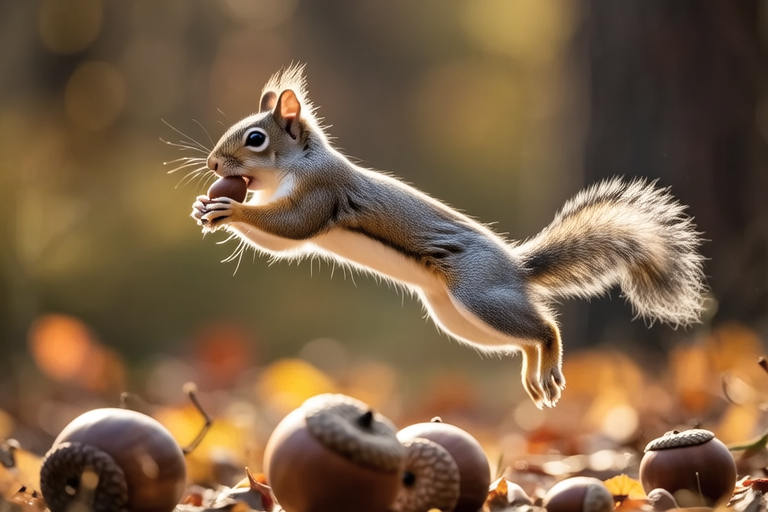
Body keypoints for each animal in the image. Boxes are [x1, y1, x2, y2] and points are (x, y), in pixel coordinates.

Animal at [191, 65, 706, 408]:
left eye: (256, 139)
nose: (214, 165)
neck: (292, 169)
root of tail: (516, 269)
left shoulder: (322, 192)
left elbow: (291, 228)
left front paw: (232, 208)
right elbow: (281, 243)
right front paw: (205, 207)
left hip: (479, 295)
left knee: (546, 328)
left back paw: (549, 363)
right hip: (459, 320)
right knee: (524, 338)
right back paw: (531, 373)